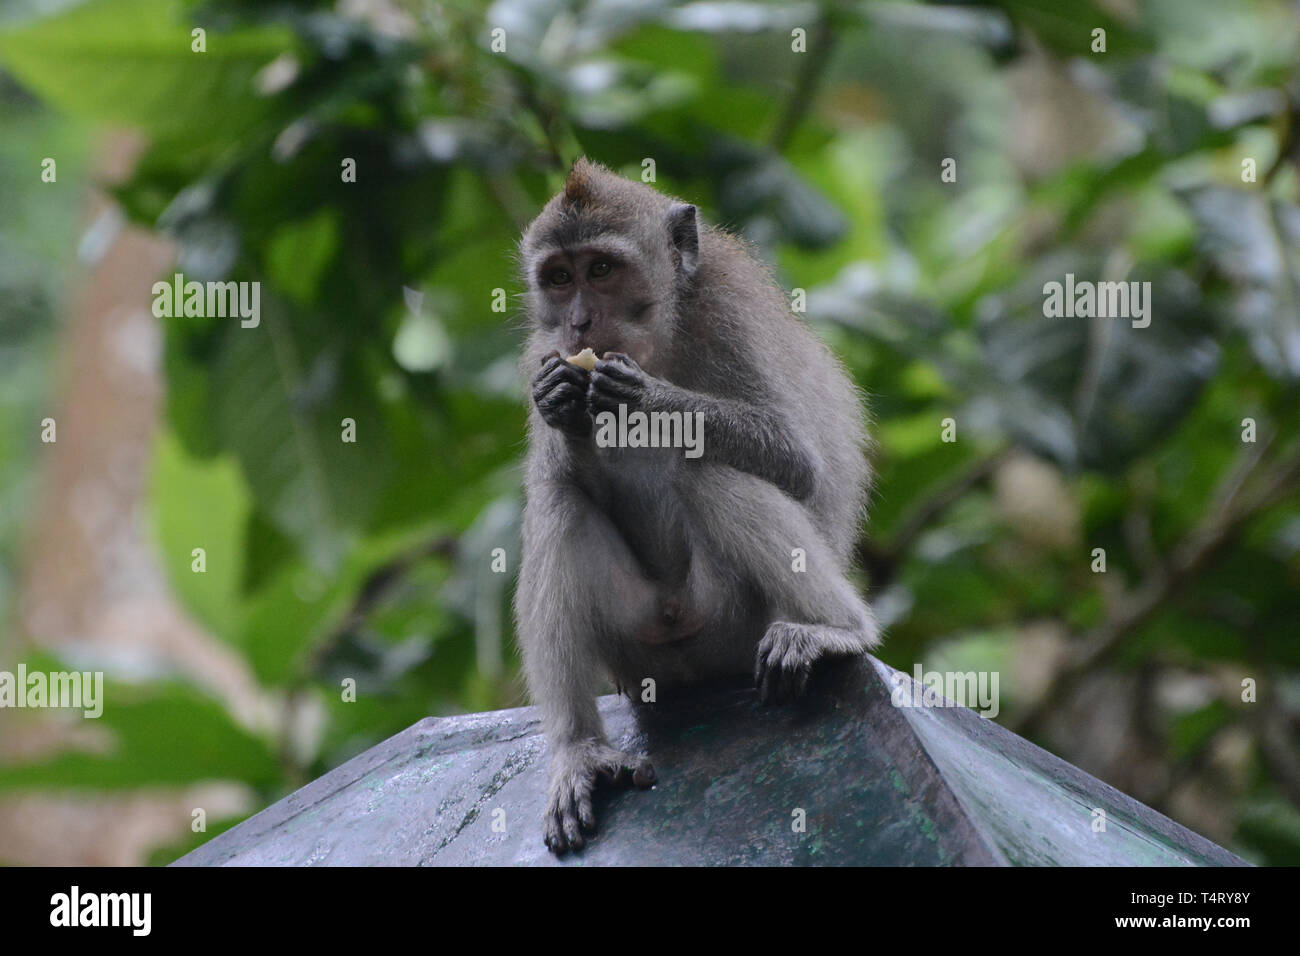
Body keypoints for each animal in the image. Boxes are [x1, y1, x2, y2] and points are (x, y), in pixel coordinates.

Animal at [515, 158, 880, 854]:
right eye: (559, 278)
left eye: (601, 269)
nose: (579, 323)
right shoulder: (538, 352)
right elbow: (563, 470)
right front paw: (565, 405)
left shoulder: (727, 313)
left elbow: (797, 462)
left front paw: (646, 398)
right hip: (638, 642)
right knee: (559, 502)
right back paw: (580, 750)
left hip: (731, 622)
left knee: (708, 468)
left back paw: (838, 630)